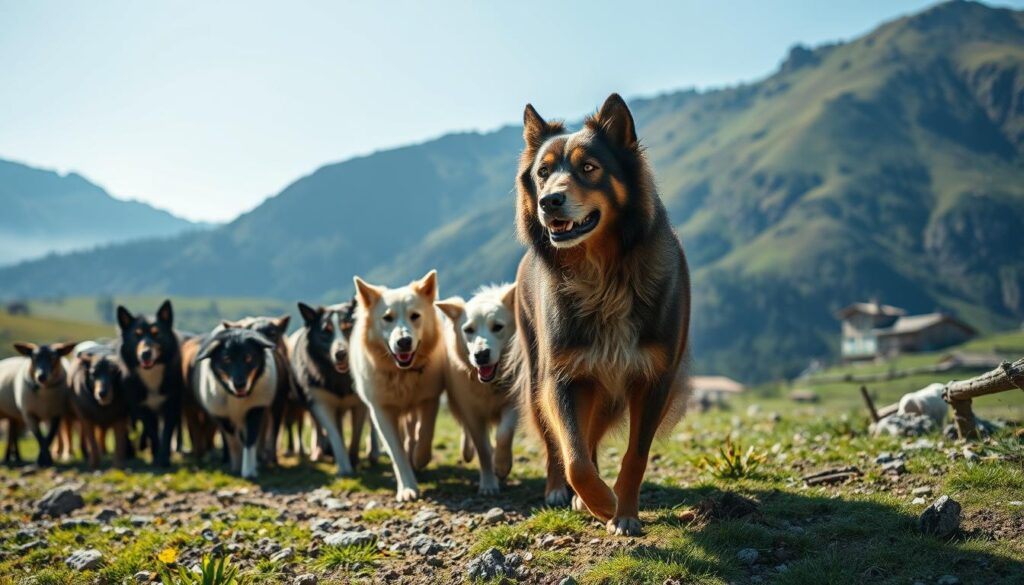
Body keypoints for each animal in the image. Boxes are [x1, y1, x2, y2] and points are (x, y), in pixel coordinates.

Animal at [516, 93, 692, 536]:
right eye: (543, 173)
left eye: (589, 168)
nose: (548, 202)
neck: (602, 273)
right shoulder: (562, 376)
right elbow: (574, 457)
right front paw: (601, 501)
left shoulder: (654, 377)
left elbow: (635, 455)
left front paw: (624, 512)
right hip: (540, 376)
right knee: (558, 443)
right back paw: (559, 492)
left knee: (590, 434)